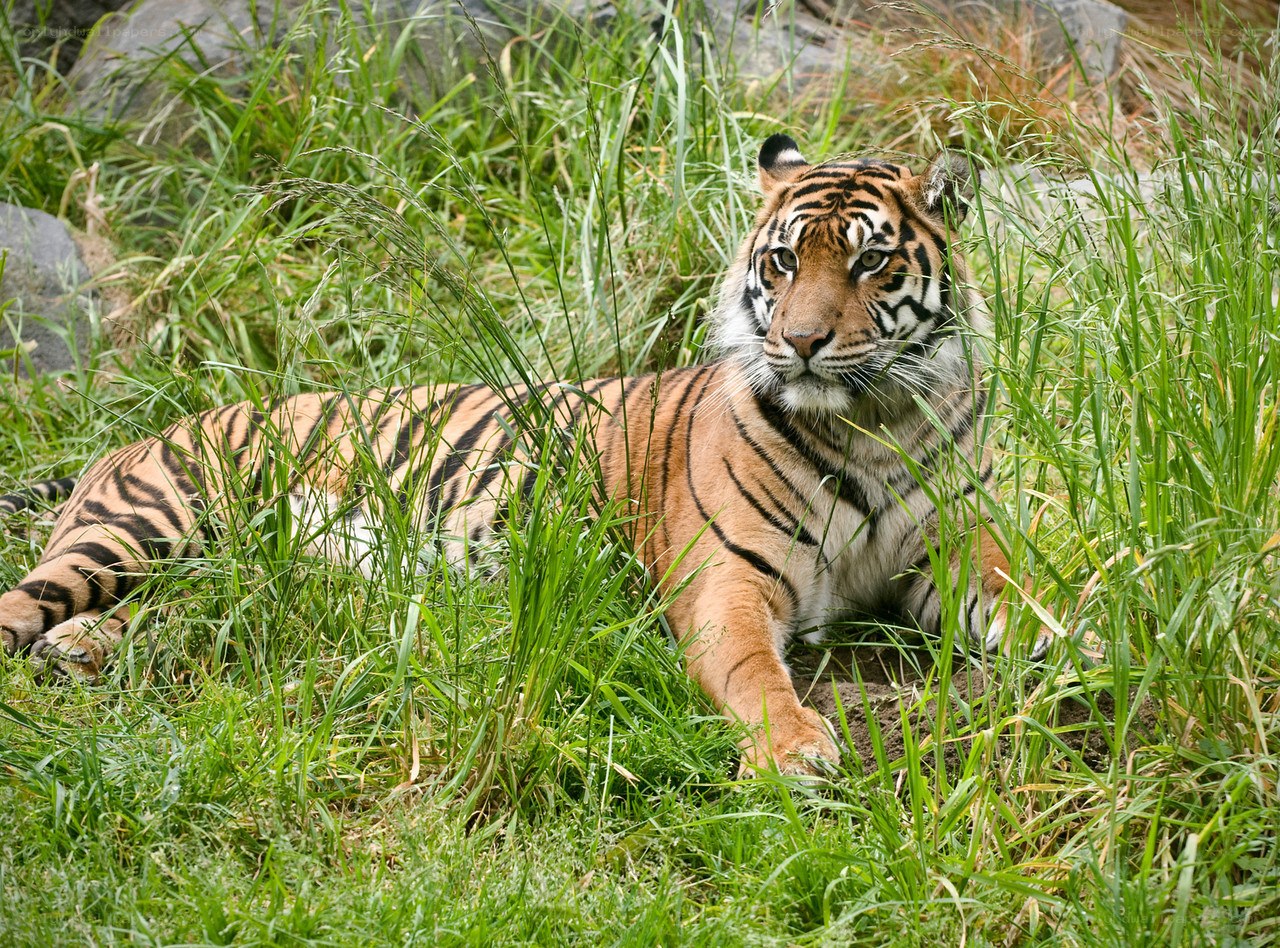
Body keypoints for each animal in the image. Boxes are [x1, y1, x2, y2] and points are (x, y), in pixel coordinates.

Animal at [0, 135, 1031, 776]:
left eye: (868, 263)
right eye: (782, 262)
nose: (803, 343)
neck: (873, 422)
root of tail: (134, 438)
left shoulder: (952, 545)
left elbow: (1026, 599)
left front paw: (1068, 652)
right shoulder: (726, 583)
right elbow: (754, 673)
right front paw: (794, 751)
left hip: (250, 576)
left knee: (190, 610)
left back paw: (82, 652)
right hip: (147, 522)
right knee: (29, 601)